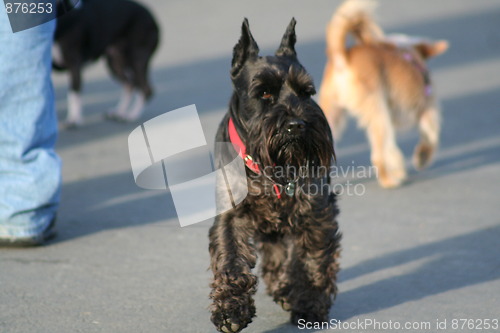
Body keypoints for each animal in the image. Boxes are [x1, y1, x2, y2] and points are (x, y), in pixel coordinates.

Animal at [209, 18, 342, 332]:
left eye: (306, 92)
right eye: (265, 93)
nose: (297, 125)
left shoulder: (315, 212)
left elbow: (311, 260)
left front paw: (310, 305)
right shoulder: (230, 215)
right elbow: (231, 259)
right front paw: (230, 311)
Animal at [318, 0, 452, 187]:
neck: (407, 50)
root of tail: (342, 58)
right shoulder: (428, 109)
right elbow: (431, 136)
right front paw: (422, 158)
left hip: (331, 114)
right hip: (379, 113)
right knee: (380, 155)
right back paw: (390, 180)